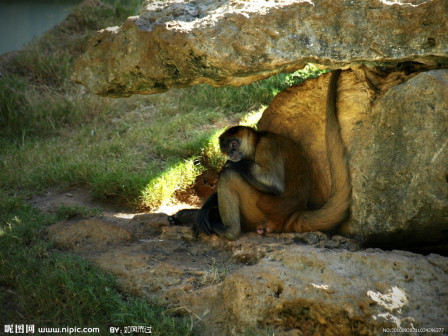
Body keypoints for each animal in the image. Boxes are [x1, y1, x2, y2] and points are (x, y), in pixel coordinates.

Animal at [170, 69, 352, 240]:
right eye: (226, 148)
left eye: (234, 145)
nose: (231, 153)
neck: (258, 140)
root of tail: (289, 215)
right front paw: (205, 207)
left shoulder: (267, 146)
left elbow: (274, 184)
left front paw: (231, 164)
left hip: (260, 208)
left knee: (229, 175)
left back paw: (228, 231)